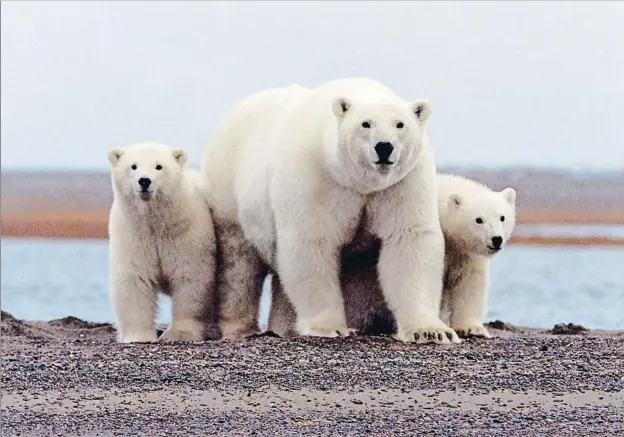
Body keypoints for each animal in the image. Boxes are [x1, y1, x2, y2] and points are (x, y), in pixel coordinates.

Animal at [105, 141, 217, 342]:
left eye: (159, 166)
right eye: (133, 166)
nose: (144, 181)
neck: (156, 222)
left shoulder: (186, 233)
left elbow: (189, 277)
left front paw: (180, 334)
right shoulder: (134, 235)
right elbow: (135, 278)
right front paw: (139, 337)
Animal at [202, 78, 460, 344]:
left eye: (400, 124)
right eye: (365, 123)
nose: (384, 147)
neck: (358, 182)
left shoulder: (401, 183)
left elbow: (408, 240)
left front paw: (431, 331)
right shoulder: (317, 177)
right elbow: (312, 241)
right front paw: (330, 327)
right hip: (228, 189)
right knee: (238, 264)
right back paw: (240, 328)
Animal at [268, 172, 516, 338]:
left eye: (502, 217)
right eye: (478, 220)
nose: (496, 239)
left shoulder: (465, 253)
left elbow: (469, 282)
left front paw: (471, 328)